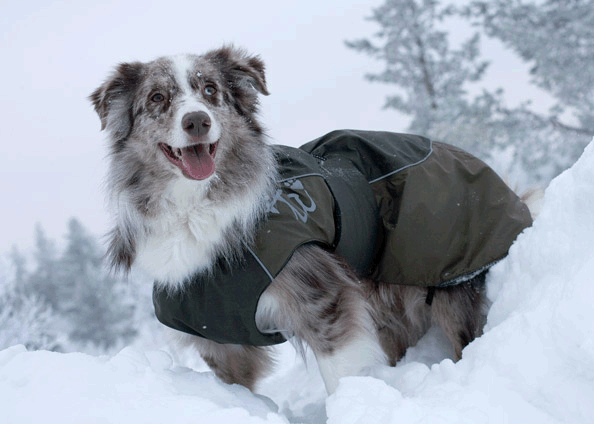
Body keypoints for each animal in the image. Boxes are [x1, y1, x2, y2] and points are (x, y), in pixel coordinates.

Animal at [91, 46, 532, 394]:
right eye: (157, 97)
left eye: (210, 90)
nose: (197, 121)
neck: (194, 206)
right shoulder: (216, 335)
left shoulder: (323, 296)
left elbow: (342, 373)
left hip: (449, 280)